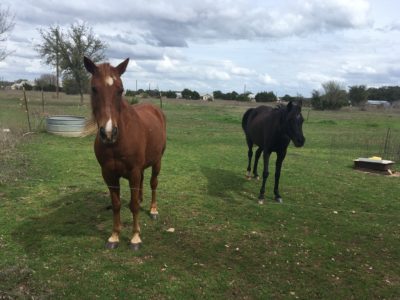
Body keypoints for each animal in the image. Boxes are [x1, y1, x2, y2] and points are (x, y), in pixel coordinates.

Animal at [83, 56, 166, 251]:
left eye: (120, 90)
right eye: (94, 88)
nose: (108, 133)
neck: (118, 141)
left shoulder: (133, 171)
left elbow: (133, 205)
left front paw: (135, 238)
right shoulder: (108, 174)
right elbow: (116, 204)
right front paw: (114, 236)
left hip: (157, 162)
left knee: (153, 183)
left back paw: (153, 209)